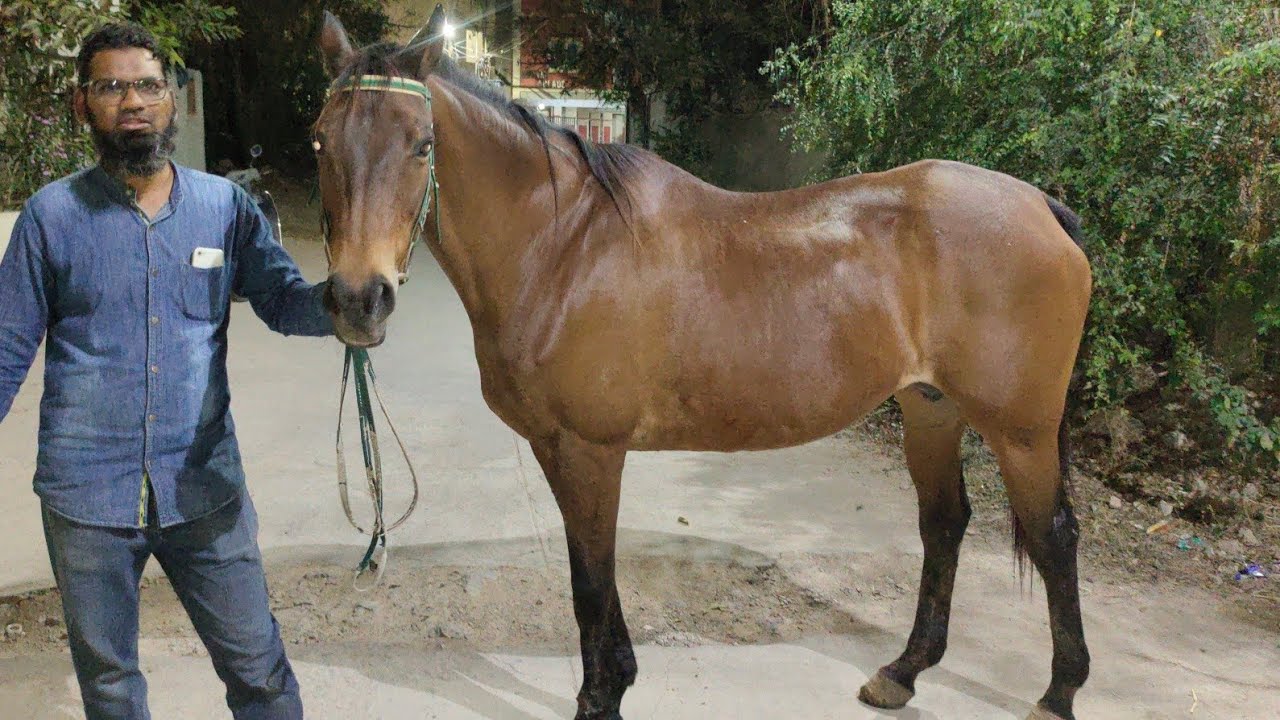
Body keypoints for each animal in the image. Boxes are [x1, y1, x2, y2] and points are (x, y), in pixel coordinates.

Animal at [311, 7, 1092, 720]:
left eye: (421, 145)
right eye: (320, 141)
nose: (358, 300)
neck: (561, 248)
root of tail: (1043, 207)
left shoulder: (592, 449)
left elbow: (592, 575)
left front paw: (601, 698)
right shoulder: (554, 445)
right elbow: (586, 569)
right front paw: (612, 681)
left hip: (1020, 431)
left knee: (1053, 538)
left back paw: (1057, 694)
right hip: (932, 408)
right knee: (944, 524)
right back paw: (901, 673)